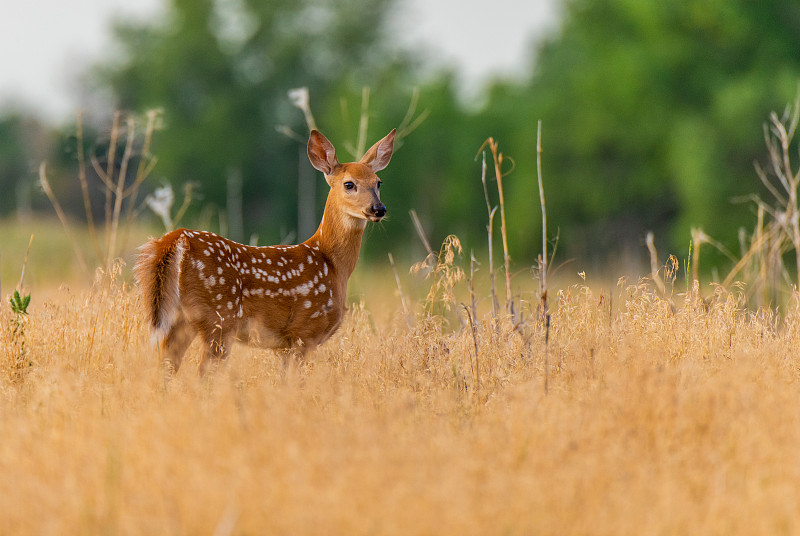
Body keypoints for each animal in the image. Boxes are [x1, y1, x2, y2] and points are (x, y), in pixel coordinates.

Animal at [135, 127, 396, 374]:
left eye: (378, 182)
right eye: (349, 184)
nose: (378, 209)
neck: (332, 264)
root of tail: (174, 240)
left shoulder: (283, 346)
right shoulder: (305, 331)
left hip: (177, 318)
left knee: (166, 367)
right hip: (219, 317)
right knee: (203, 373)